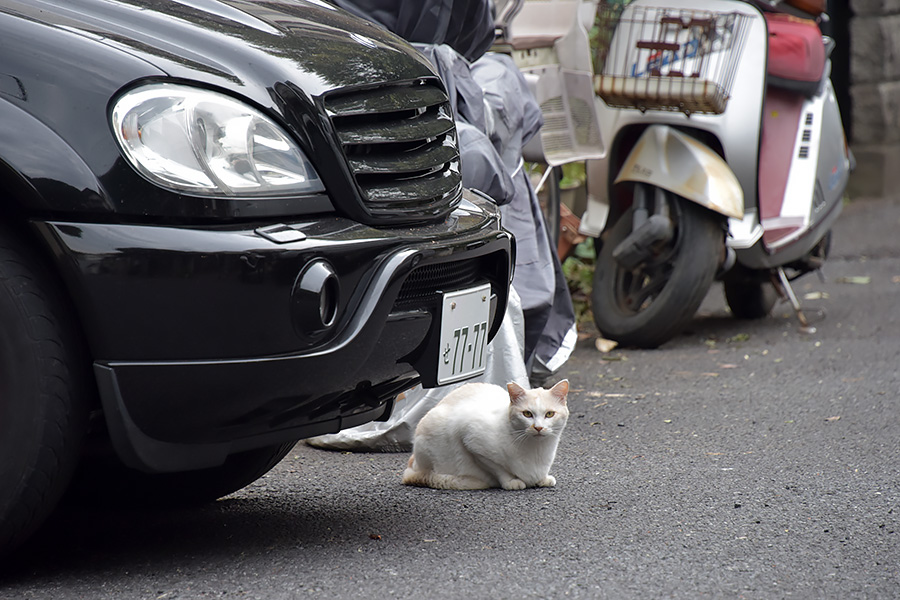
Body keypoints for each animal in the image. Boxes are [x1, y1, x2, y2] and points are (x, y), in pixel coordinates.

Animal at [402, 380, 568, 492]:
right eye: (527, 414)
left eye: (549, 414)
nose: (538, 427)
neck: (537, 449)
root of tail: (413, 462)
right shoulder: (470, 438)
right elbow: (498, 468)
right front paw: (511, 481)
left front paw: (542, 479)